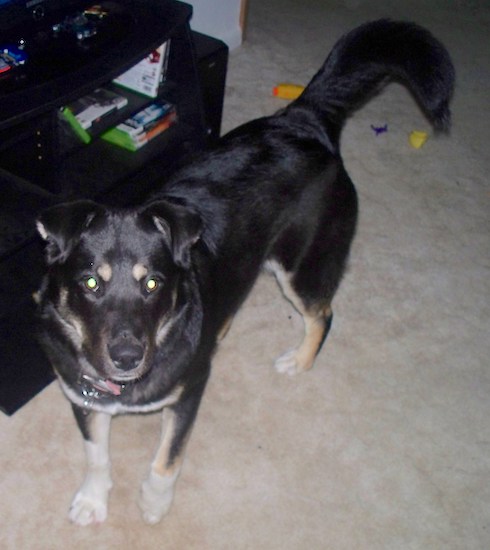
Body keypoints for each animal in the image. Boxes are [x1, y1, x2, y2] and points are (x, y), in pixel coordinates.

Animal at [37, 20, 456, 528]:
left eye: (152, 283)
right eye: (90, 283)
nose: (126, 357)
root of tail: (302, 120)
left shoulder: (190, 393)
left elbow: (167, 459)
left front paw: (154, 503)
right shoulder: (82, 395)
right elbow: (96, 454)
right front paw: (93, 499)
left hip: (301, 266)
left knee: (323, 314)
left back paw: (300, 359)